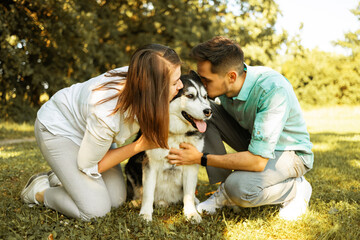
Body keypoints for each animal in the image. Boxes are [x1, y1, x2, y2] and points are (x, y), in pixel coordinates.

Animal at [126, 70, 212, 222]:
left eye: (205, 96)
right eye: (190, 96)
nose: (209, 111)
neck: (175, 134)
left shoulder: (191, 163)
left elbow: (188, 194)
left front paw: (191, 213)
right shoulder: (150, 164)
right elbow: (148, 193)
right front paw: (145, 214)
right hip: (130, 166)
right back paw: (137, 202)